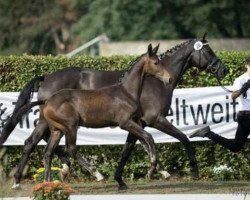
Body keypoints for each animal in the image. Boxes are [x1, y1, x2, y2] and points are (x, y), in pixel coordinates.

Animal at [0, 34, 229, 189]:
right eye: (208, 51)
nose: (223, 70)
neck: (154, 84)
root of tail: (46, 77)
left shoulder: (137, 122)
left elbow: (129, 148)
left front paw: (122, 179)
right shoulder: (154, 119)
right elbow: (182, 138)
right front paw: (192, 171)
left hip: (49, 122)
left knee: (35, 143)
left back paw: (35, 178)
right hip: (56, 123)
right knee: (39, 143)